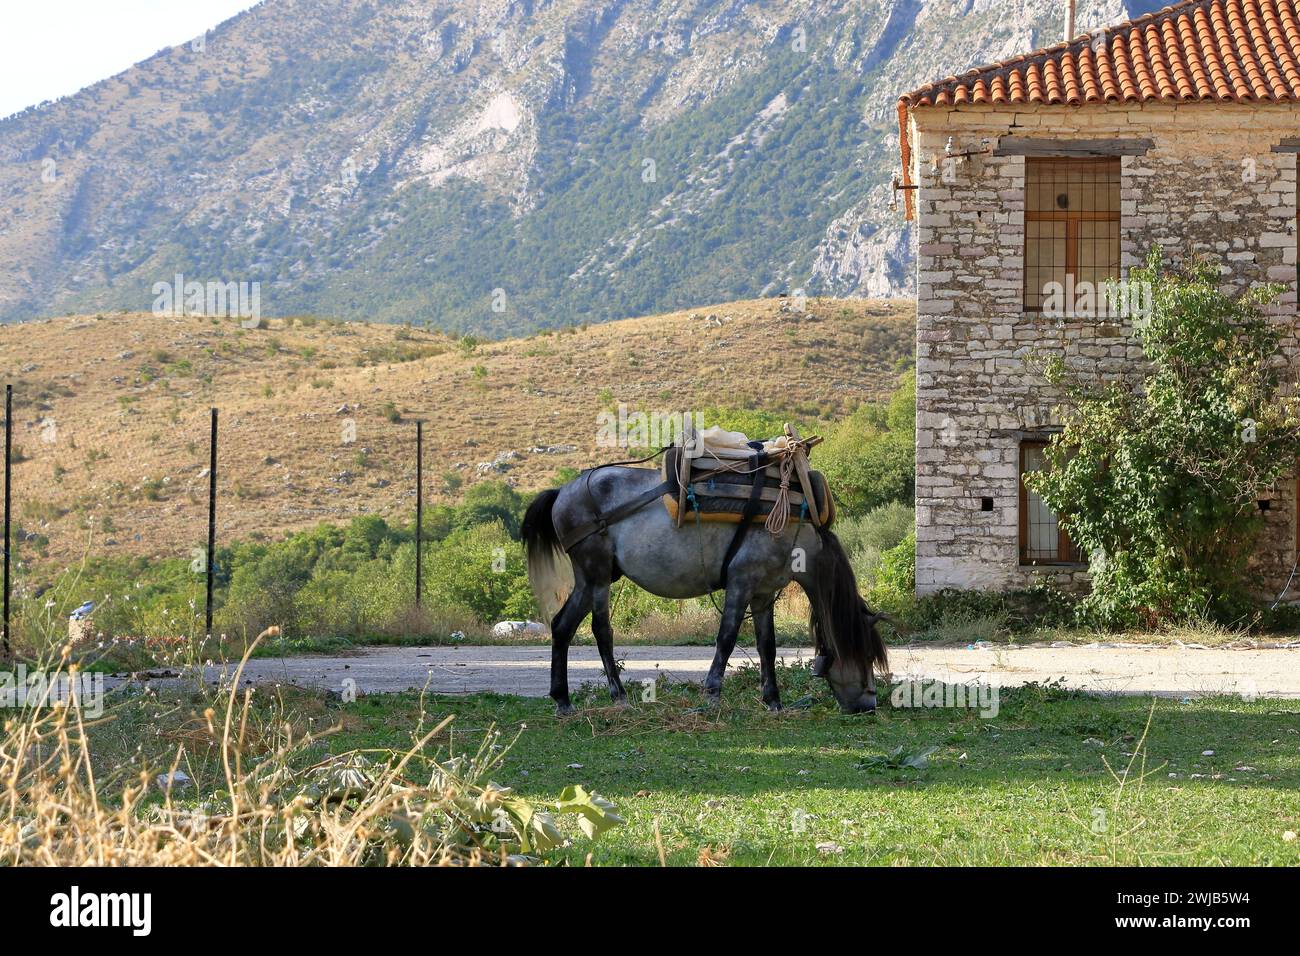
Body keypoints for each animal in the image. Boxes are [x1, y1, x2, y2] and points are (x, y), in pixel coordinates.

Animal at [522, 463, 889, 717]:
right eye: (867, 656)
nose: (869, 706)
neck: (794, 526)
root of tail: (563, 491)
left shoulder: (763, 594)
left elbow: (767, 647)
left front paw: (773, 701)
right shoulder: (741, 584)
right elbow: (726, 639)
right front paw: (712, 694)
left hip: (587, 580)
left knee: (563, 627)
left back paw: (562, 700)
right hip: (597, 576)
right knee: (602, 632)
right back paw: (619, 696)